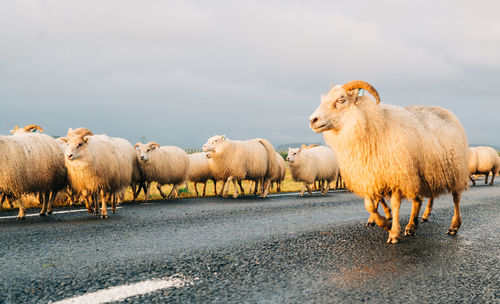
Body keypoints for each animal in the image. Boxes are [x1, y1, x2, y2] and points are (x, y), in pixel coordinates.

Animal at [308, 79, 468, 243]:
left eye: (341, 99)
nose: (312, 120)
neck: (371, 126)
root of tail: (446, 112)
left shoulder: (396, 175)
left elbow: (395, 204)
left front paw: (394, 232)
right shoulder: (369, 177)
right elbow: (369, 205)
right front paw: (385, 223)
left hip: (454, 169)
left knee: (456, 198)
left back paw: (454, 226)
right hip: (420, 174)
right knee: (418, 199)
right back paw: (412, 225)